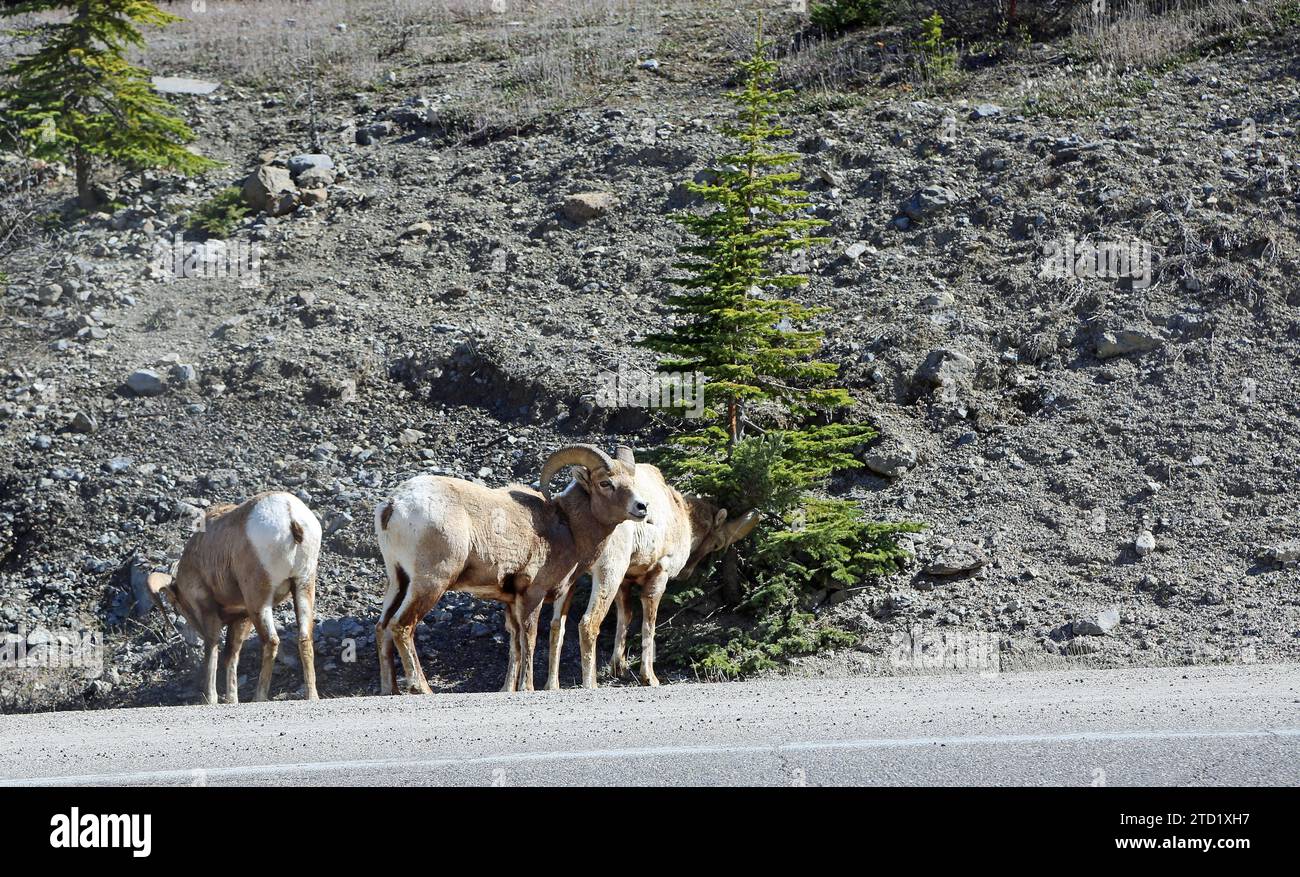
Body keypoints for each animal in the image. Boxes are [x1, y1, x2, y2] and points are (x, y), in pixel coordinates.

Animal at [146, 493, 318, 706]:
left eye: (176, 606)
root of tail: (289, 514)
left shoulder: (209, 610)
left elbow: (212, 650)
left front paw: (210, 699)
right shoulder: (241, 617)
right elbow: (231, 656)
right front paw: (232, 700)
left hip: (259, 600)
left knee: (271, 641)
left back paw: (258, 698)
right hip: (303, 586)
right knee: (304, 639)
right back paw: (312, 696)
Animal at [374, 446, 647, 691]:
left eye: (632, 481)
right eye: (605, 483)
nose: (642, 507)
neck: (568, 528)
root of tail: (393, 505)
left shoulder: (511, 601)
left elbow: (515, 644)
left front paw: (511, 688)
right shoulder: (532, 595)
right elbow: (530, 639)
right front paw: (528, 687)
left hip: (399, 582)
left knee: (383, 627)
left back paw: (390, 690)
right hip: (430, 583)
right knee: (402, 626)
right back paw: (421, 689)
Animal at [548, 467, 759, 691]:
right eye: (718, 544)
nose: (687, 572)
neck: (681, 516)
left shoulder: (625, 581)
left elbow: (625, 617)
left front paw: (618, 669)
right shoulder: (658, 574)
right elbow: (649, 624)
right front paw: (649, 678)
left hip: (571, 578)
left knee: (557, 625)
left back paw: (552, 685)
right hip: (608, 572)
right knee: (588, 623)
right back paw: (591, 684)